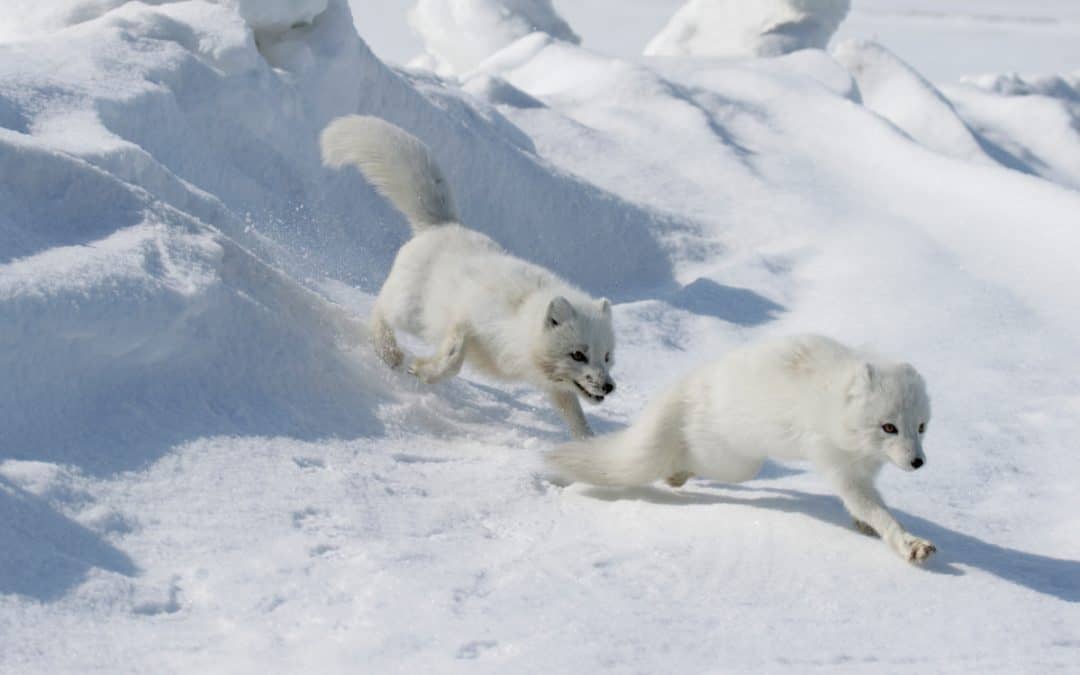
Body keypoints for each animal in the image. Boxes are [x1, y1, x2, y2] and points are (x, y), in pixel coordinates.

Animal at [317, 115, 617, 436]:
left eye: (607, 356)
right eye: (578, 355)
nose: (609, 387)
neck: (519, 320)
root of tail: (443, 225)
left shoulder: (553, 385)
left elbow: (575, 416)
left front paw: (590, 445)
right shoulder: (465, 321)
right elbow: (453, 359)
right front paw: (423, 370)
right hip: (410, 313)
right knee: (379, 308)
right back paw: (388, 352)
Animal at [548, 334, 937, 561]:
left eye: (920, 427)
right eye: (889, 427)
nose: (918, 462)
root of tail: (693, 383)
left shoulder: (864, 471)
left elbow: (867, 509)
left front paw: (865, 525)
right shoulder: (839, 466)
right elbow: (877, 511)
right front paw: (908, 543)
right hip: (737, 462)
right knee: (689, 459)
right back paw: (675, 476)